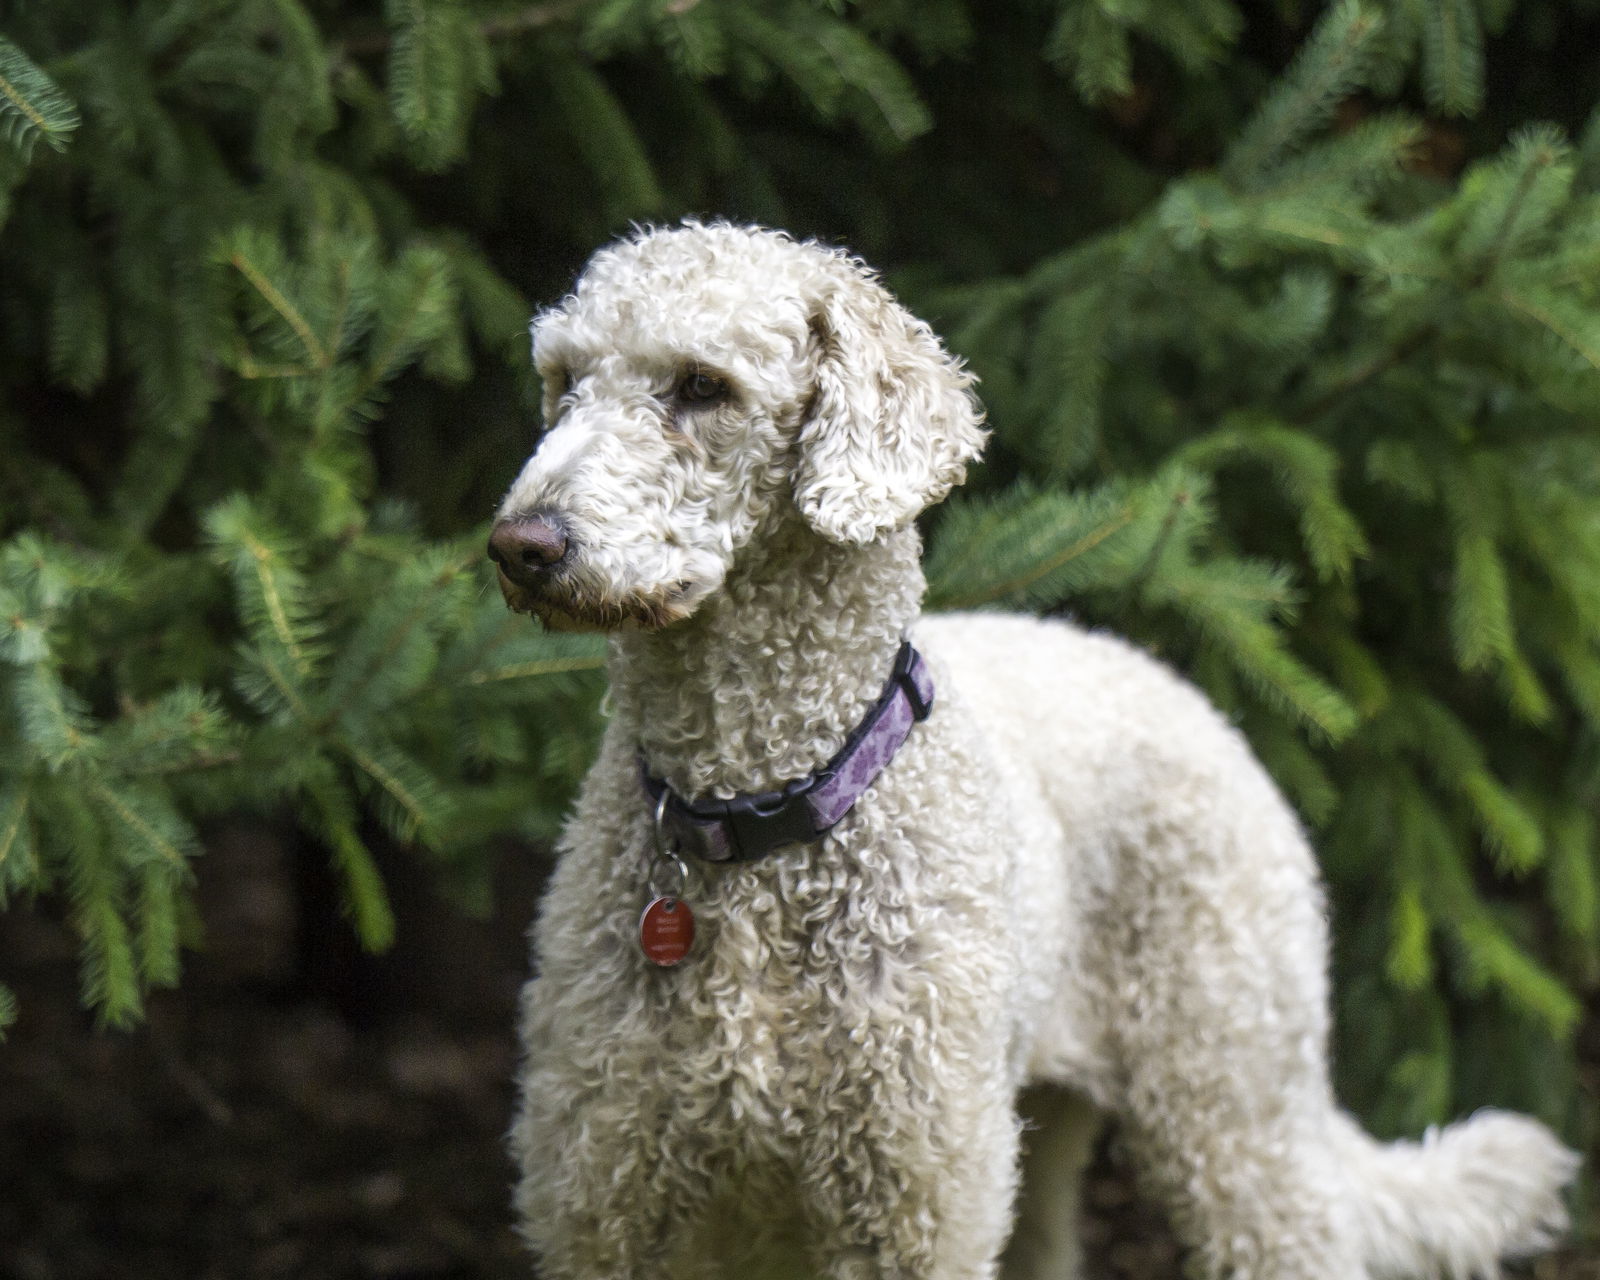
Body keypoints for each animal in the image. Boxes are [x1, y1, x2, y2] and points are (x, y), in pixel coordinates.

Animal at [489, 225, 1574, 1280]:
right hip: (1045, 1135)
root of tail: (1193, 697)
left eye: (702, 386)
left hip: (1231, 1091)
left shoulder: (911, 1203)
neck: (753, 815)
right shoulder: (605, 1198)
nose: (518, 544)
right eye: (563, 380)